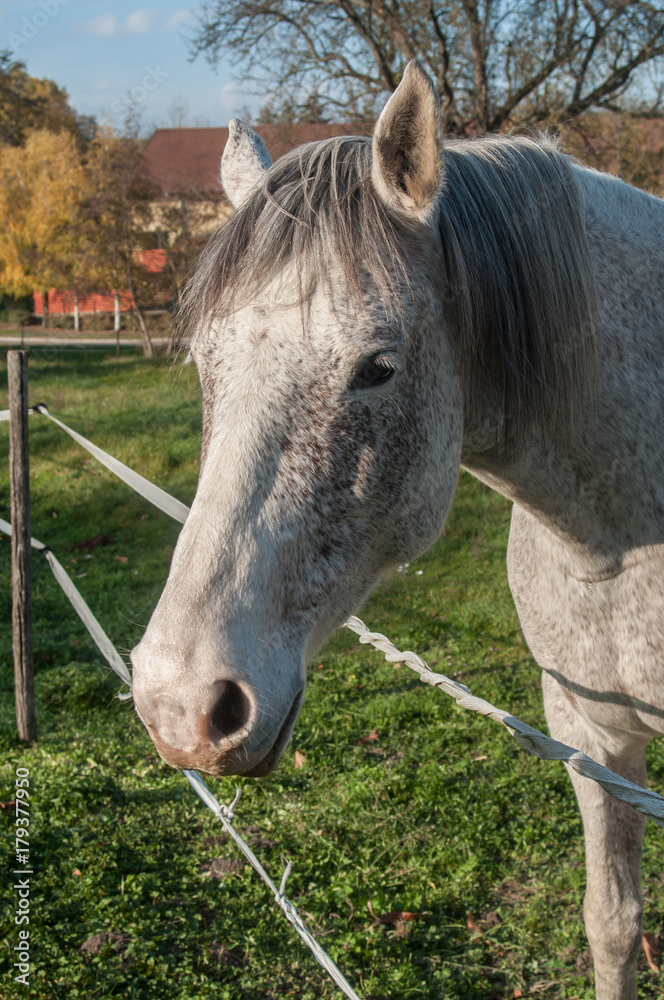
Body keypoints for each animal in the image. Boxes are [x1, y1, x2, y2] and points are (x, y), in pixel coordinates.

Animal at [130, 61, 664, 1000]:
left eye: (378, 367)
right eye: (202, 361)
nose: (181, 706)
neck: (614, 547)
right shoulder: (589, 733)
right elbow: (613, 922)